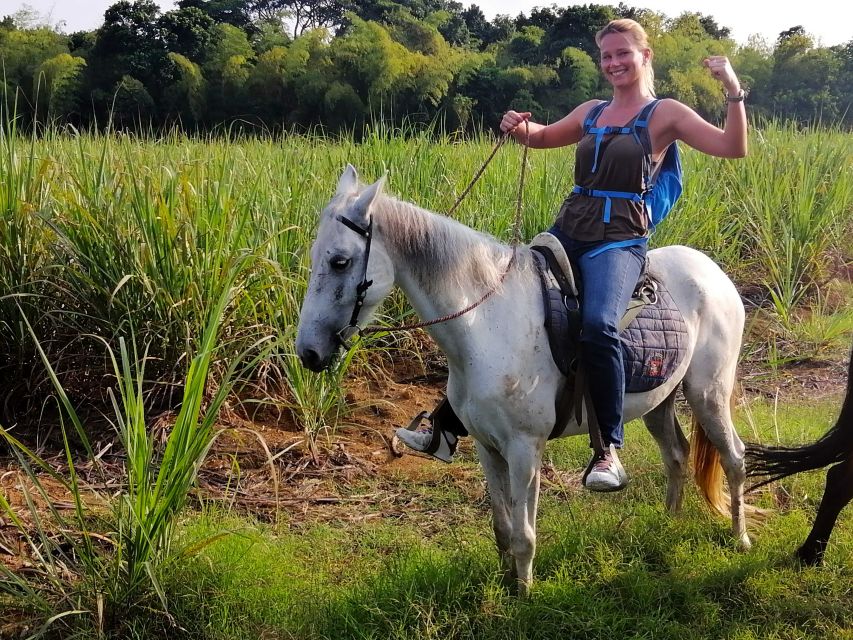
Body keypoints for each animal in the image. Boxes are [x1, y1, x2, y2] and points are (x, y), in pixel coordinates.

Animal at [296, 166, 748, 596]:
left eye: (340, 261)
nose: (308, 353)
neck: (485, 323)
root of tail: (711, 270)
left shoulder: (524, 448)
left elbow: (524, 535)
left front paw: (525, 596)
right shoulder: (487, 446)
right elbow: (503, 529)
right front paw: (505, 585)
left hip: (708, 393)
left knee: (734, 458)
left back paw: (740, 539)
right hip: (659, 401)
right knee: (677, 455)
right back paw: (670, 523)